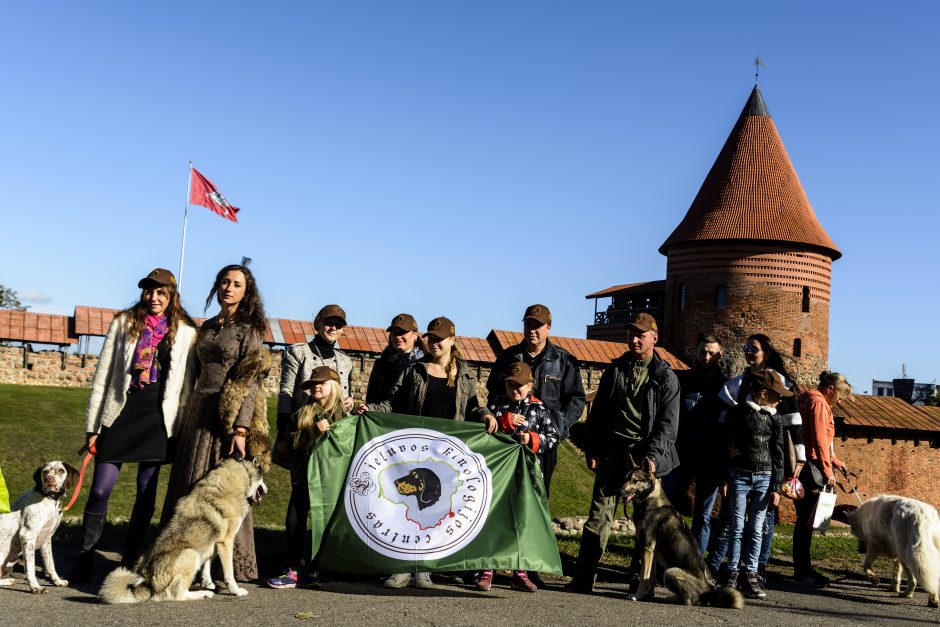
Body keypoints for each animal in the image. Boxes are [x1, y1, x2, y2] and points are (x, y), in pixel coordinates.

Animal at [0, 462, 79, 592]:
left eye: (61, 470)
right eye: (44, 472)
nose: (48, 478)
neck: (50, 500)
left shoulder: (47, 539)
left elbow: (50, 565)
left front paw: (57, 581)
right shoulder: (27, 535)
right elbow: (30, 568)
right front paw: (35, 587)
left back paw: (9, 580)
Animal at [620, 464, 744, 604]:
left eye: (634, 480)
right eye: (625, 478)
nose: (619, 491)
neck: (650, 498)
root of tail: (709, 592)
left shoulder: (646, 548)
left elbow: (643, 577)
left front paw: (637, 595)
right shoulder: (652, 552)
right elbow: (650, 578)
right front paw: (648, 594)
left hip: (670, 572)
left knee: (690, 600)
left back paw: (672, 598)